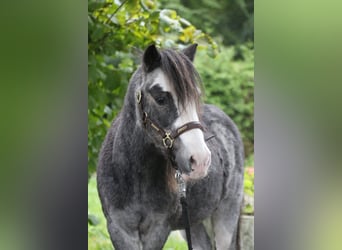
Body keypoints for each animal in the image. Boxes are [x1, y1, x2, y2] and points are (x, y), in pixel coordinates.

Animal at [97, 44, 244, 249]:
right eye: (160, 99)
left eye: (195, 97)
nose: (200, 160)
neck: (135, 177)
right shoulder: (120, 230)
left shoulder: (158, 229)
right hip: (193, 223)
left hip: (226, 215)